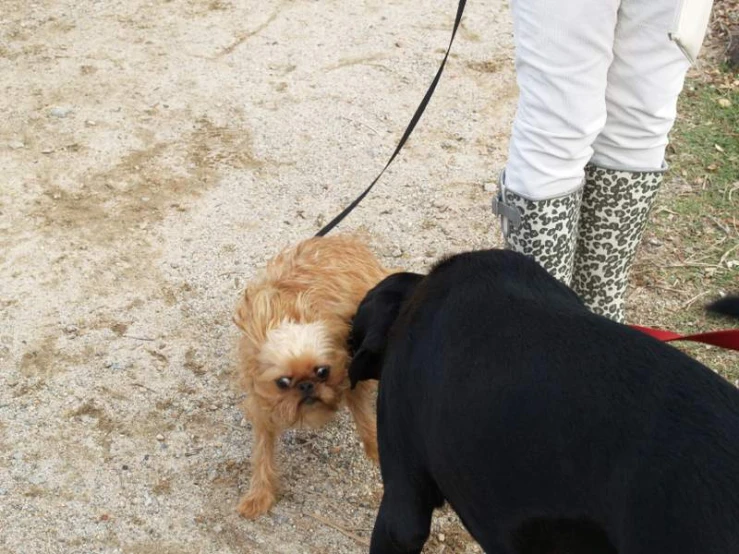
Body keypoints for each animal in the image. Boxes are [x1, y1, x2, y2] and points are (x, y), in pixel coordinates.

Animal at [234, 234, 390, 516]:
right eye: (283, 382)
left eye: (322, 371)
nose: (307, 386)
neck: (288, 314)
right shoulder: (262, 403)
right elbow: (262, 452)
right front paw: (259, 494)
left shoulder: (350, 373)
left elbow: (364, 417)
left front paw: (375, 449)